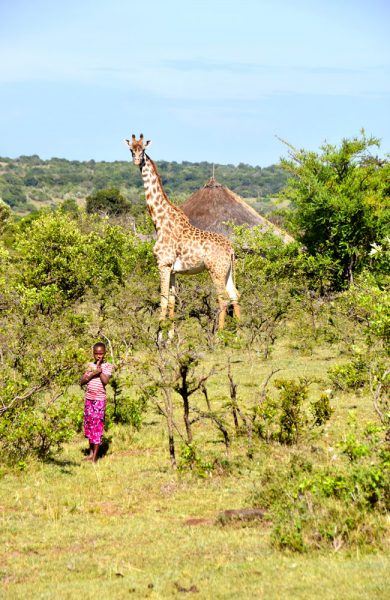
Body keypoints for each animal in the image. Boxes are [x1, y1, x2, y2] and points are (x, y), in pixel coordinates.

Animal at [125, 134, 241, 330]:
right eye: (131, 149)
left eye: (144, 149)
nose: (137, 160)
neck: (159, 221)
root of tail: (231, 250)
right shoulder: (173, 270)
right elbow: (172, 303)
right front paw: (169, 334)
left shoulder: (163, 264)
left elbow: (163, 301)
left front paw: (158, 335)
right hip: (228, 271)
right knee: (235, 295)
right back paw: (240, 333)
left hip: (216, 270)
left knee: (223, 298)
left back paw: (220, 334)